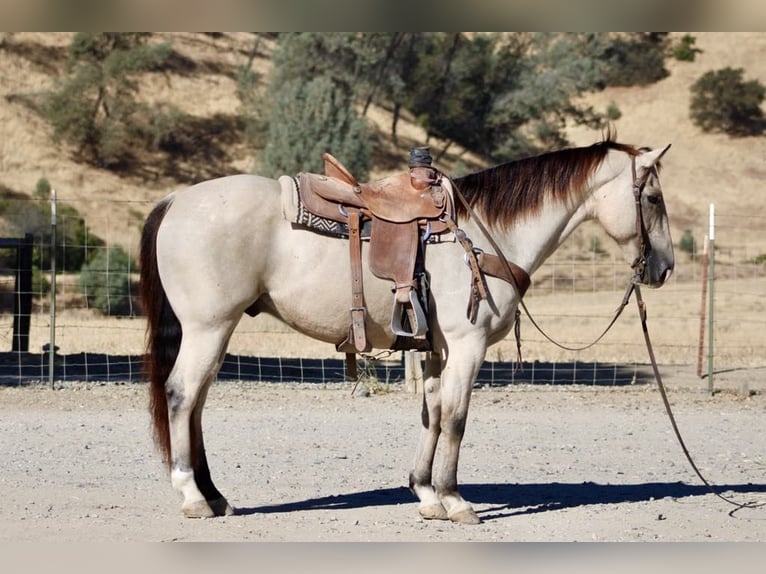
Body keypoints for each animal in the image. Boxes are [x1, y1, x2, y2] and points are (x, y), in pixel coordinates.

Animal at [141, 134, 676, 528]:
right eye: (652, 198)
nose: (665, 268)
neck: (484, 236)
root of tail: (176, 199)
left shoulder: (437, 348)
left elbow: (432, 414)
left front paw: (425, 493)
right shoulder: (467, 346)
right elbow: (456, 418)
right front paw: (455, 500)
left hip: (215, 330)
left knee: (196, 403)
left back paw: (216, 496)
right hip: (209, 327)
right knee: (181, 394)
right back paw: (192, 496)